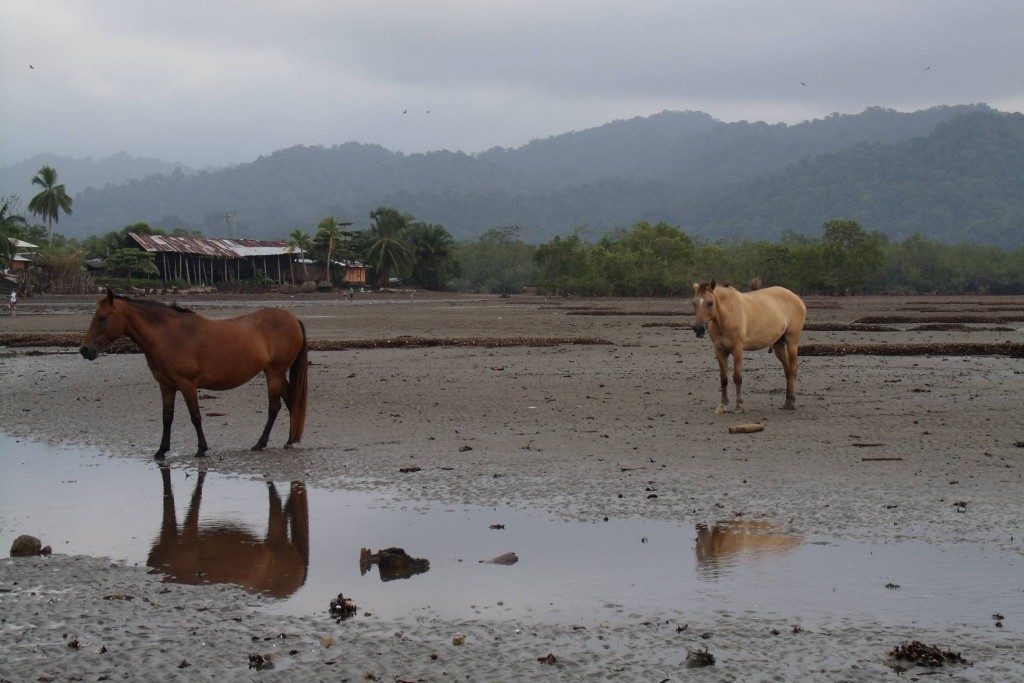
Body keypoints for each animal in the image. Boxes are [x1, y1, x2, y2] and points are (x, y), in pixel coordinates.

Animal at [79, 288, 308, 458]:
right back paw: (290, 441)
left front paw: (201, 448)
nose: (84, 350)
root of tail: (293, 319)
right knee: (291, 402)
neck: (169, 335)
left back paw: (261, 443)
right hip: (276, 373)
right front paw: (161, 451)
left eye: (102, 318)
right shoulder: (166, 386)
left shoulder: (187, 384)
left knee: (274, 407)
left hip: (275, 372)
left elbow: (195, 416)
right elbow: (167, 417)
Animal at [691, 280, 806, 412]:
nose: (698, 329)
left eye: (710, 303)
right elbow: (723, 379)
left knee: (793, 369)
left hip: (792, 342)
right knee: (787, 370)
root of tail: (796, 298)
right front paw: (722, 405)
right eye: (694, 303)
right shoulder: (719, 350)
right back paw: (787, 402)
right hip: (779, 345)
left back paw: (791, 402)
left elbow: (737, 377)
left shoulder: (737, 349)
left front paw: (739, 406)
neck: (727, 314)